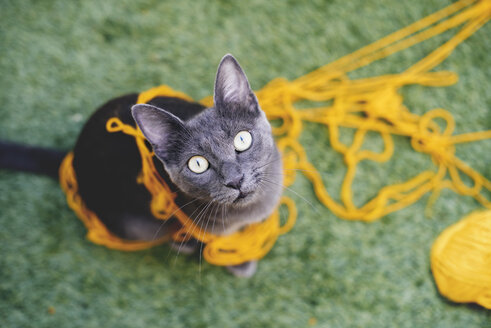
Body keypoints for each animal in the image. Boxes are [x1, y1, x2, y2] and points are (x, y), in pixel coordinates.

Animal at [0, 54, 284, 276]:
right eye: (197, 164)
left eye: (242, 139)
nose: (235, 180)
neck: (250, 210)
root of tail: (74, 154)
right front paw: (237, 260)